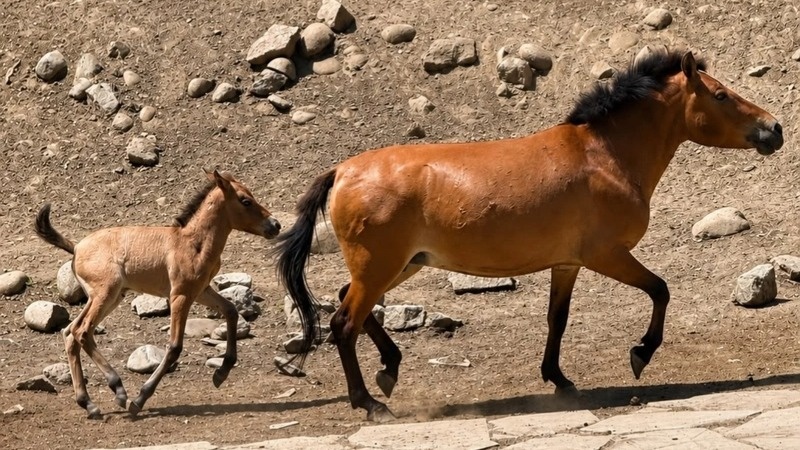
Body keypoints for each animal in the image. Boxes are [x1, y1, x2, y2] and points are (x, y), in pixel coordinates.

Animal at [34, 169, 281, 419]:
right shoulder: (180, 295)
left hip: (108, 297)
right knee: (81, 331)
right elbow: (174, 346)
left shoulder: (201, 290)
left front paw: (221, 373)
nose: (275, 225)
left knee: (70, 332)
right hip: (105, 294)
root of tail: (76, 248)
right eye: (245, 200)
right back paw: (119, 390)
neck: (193, 242)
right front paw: (140, 399)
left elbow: (230, 310)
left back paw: (89, 403)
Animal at [272, 50, 783, 422]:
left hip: (399, 265)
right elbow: (661, 289)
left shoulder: (568, 262)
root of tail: (342, 171)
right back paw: (371, 403)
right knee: (344, 324)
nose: (773, 129)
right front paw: (640, 354)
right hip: (381, 267)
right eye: (720, 94)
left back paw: (389, 370)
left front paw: (559, 381)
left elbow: (557, 319)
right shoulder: (607, 254)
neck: (605, 155)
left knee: (347, 303)